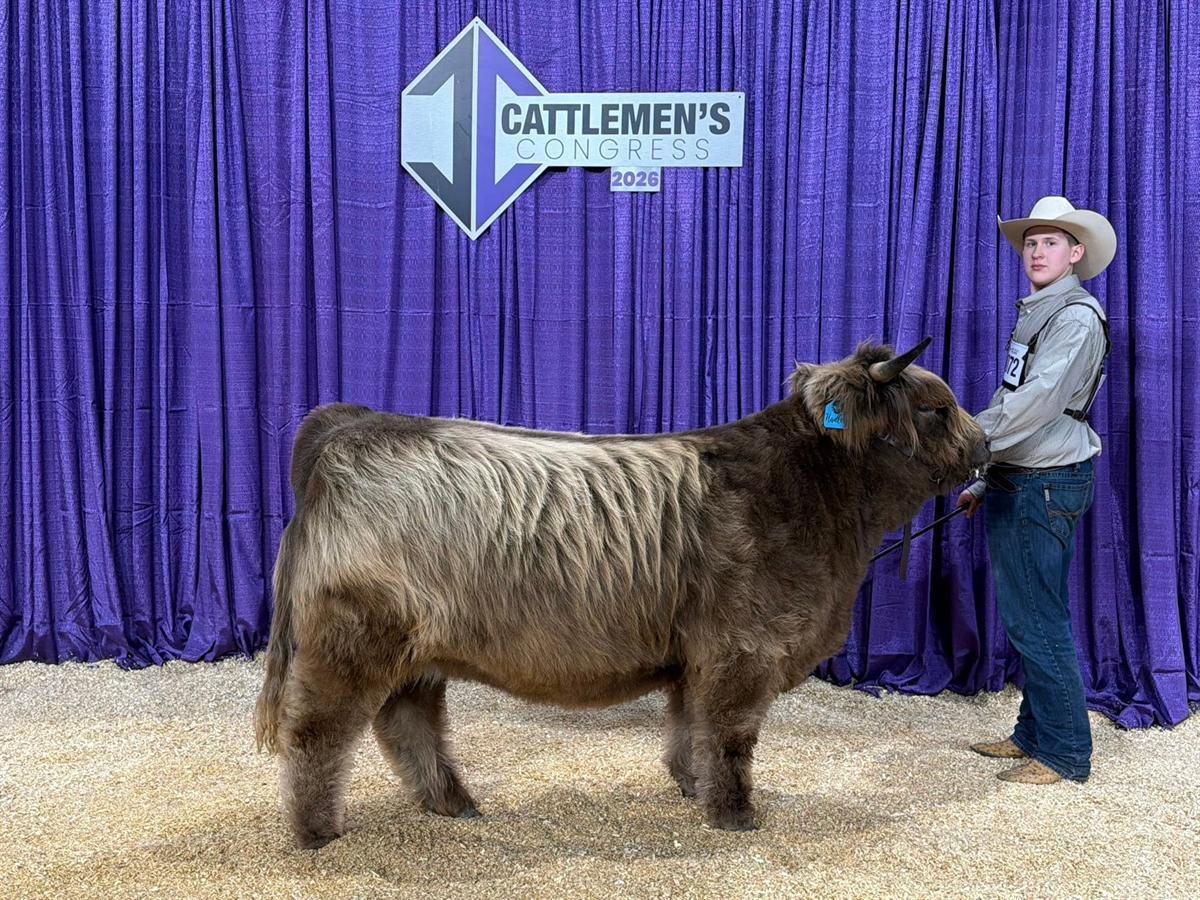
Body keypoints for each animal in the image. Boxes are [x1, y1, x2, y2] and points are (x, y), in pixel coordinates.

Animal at [254, 338, 988, 848]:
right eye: (935, 408)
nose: (985, 444)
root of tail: (354, 424)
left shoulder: (700, 657)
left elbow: (691, 725)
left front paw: (691, 787)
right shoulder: (744, 648)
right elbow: (730, 734)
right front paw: (736, 814)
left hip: (414, 654)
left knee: (408, 724)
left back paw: (454, 803)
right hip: (350, 646)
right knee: (318, 734)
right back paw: (318, 833)